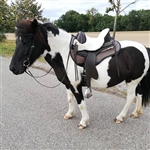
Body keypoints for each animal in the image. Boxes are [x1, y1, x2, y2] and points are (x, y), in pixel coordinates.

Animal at [9, 18, 150, 129]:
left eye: (26, 42)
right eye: (16, 41)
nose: (13, 68)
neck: (64, 53)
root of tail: (144, 48)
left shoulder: (76, 86)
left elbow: (80, 103)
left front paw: (84, 122)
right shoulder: (67, 84)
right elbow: (70, 99)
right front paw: (70, 114)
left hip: (132, 81)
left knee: (130, 97)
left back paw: (120, 117)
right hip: (136, 81)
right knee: (139, 94)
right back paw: (135, 113)